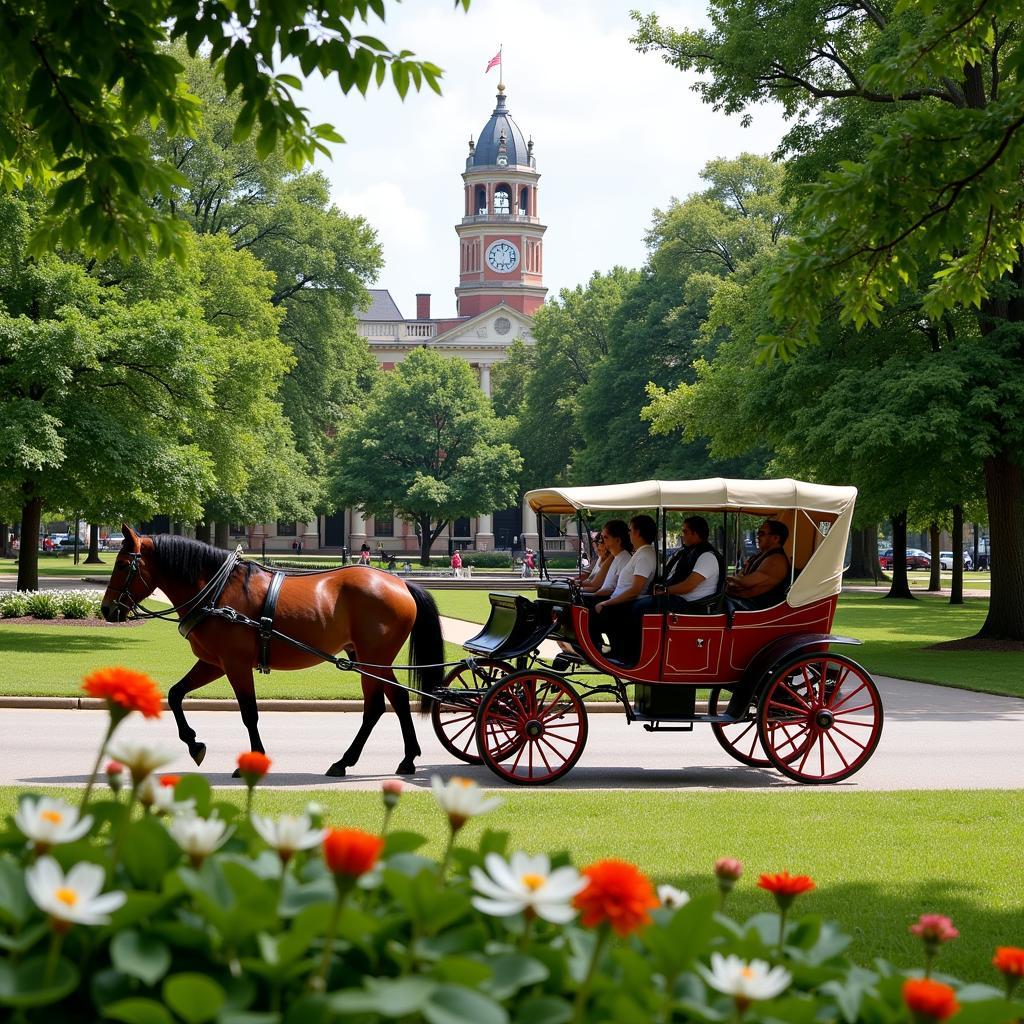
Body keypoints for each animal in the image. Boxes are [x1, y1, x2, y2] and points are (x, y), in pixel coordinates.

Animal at [98, 528, 444, 774]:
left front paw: (252, 759)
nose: (106, 609)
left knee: (376, 707)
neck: (217, 590)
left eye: (122, 564)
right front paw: (194, 744)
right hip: (366, 658)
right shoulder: (214, 663)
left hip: (373, 660)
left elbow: (249, 713)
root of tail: (400, 583)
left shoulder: (235, 664)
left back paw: (348, 761)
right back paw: (404, 759)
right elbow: (175, 694)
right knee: (396, 699)